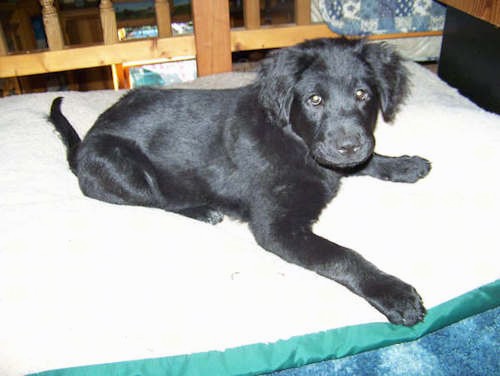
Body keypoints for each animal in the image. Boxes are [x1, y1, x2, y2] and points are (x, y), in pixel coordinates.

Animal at [51, 39, 434, 326]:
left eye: (362, 95)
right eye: (314, 100)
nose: (349, 144)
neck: (291, 137)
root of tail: (84, 144)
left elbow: (362, 164)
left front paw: (403, 165)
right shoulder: (276, 228)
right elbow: (342, 255)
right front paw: (393, 293)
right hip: (121, 166)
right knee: (160, 201)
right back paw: (203, 211)